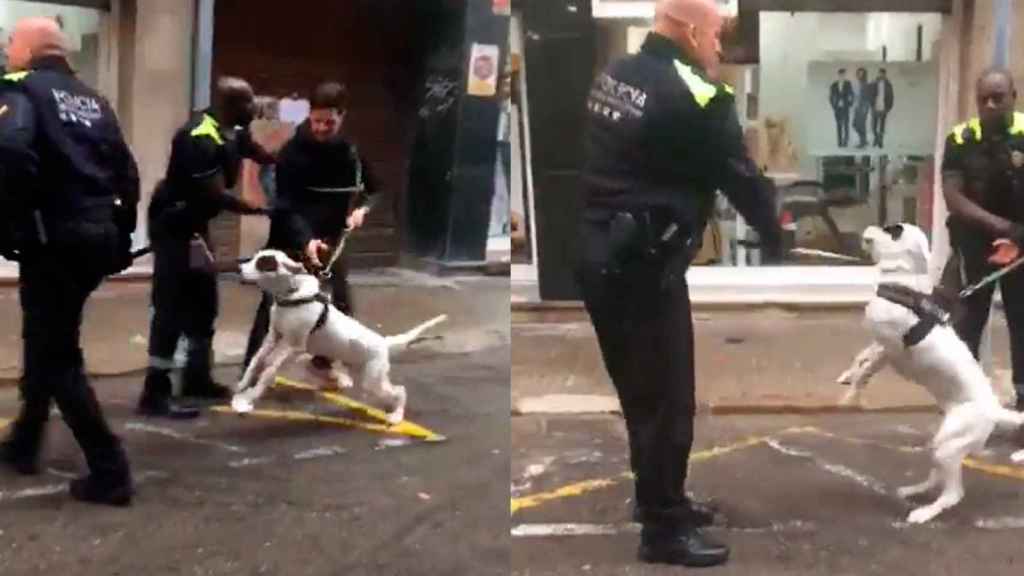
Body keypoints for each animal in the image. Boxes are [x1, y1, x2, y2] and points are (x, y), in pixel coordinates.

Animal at [234, 250, 446, 422]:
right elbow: (256, 360)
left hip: (373, 379)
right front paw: (243, 384)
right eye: (255, 257)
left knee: (400, 390)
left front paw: (250, 395)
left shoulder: (292, 346)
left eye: (263, 263)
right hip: (367, 375)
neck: (291, 294)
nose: (238, 267)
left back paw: (396, 416)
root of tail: (383, 342)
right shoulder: (273, 337)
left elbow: (269, 369)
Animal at [839, 224, 1024, 524]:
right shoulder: (879, 344)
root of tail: (995, 411)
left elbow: (866, 369)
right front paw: (847, 378)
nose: (869, 228)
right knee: (938, 476)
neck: (903, 284)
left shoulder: (889, 347)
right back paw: (915, 490)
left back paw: (924, 513)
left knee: (953, 494)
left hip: (950, 443)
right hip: (943, 443)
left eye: (892, 229)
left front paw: (851, 393)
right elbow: (862, 357)